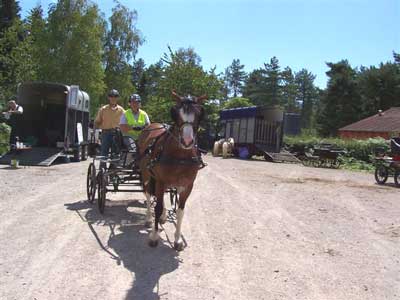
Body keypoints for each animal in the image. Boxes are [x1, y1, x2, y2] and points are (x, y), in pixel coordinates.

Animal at [138, 91, 206, 251]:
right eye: (175, 113)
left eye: (200, 113)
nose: (187, 141)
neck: (180, 156)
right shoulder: (160, 180)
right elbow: (157, 206)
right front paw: (154, 236)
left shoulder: (187, 185)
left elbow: (180, 211)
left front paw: (177, 240)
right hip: (146, 174)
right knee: (148, 194)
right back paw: (149, 219)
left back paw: (162, 217)